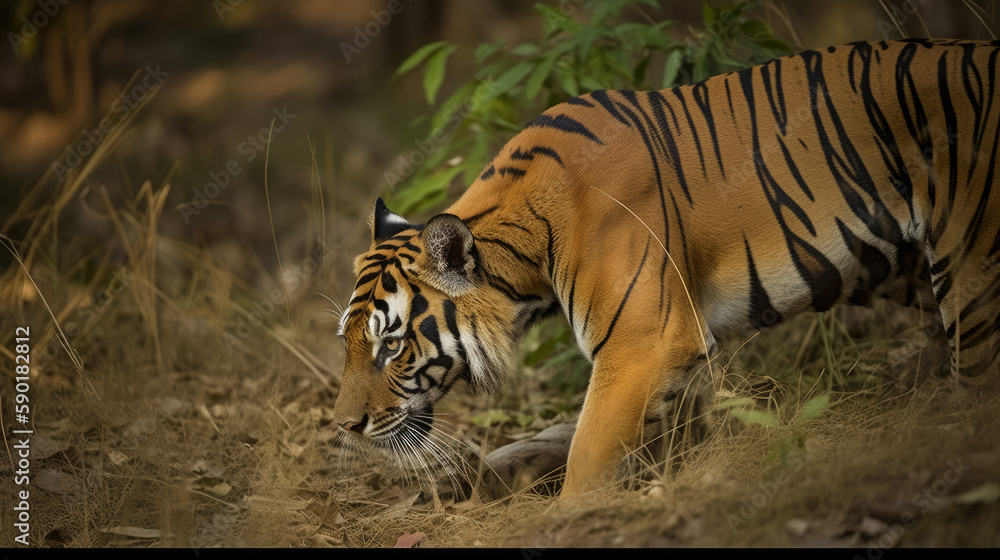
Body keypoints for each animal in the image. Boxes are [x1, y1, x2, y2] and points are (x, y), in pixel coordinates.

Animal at [332, 39, 1000, 498]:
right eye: (348, 342)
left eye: (391, 346)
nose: (344, 428)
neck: (527, 259)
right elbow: (570, 434)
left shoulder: (645, 344)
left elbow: (587, 450)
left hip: (971, 280)